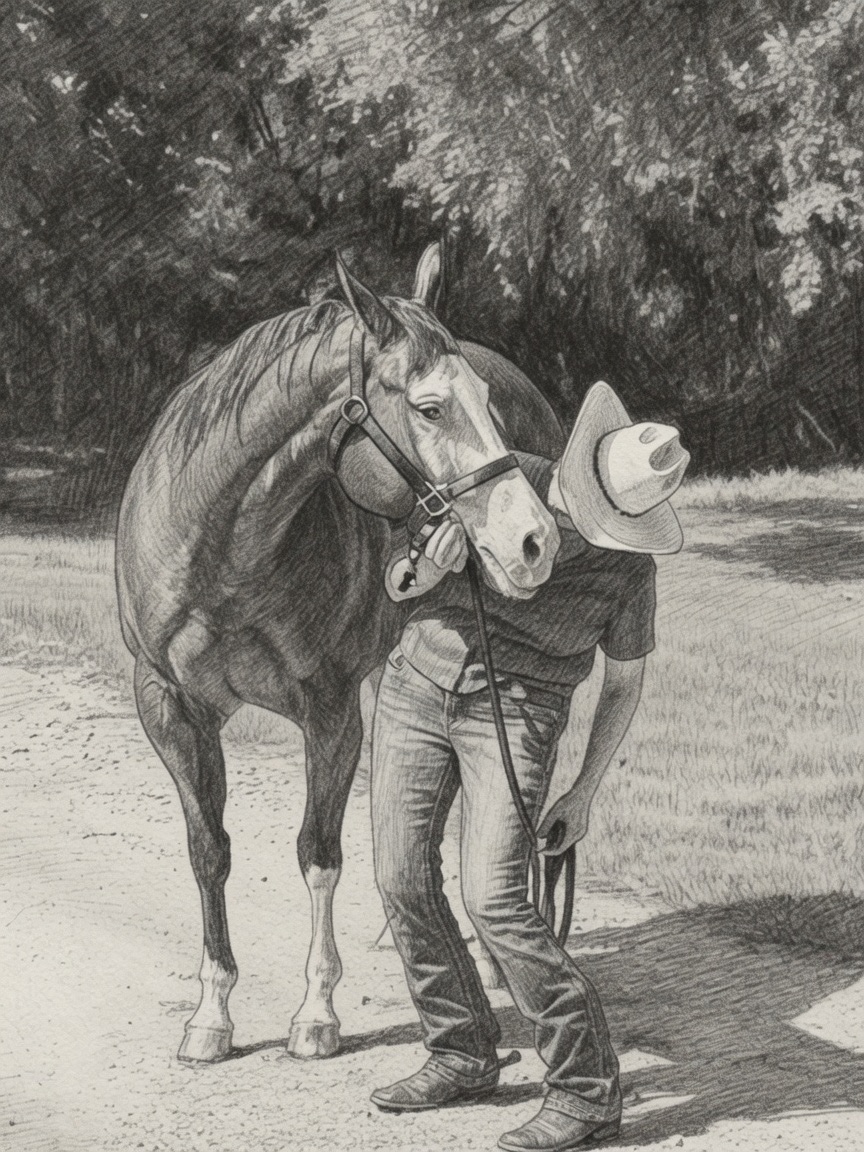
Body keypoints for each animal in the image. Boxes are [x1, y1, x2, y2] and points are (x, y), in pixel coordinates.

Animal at [115, 243, 565, 1064]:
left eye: (486, 405)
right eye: (429, 407)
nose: (533, 539)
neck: (224, 546)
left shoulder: (328, 710)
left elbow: (318, 853)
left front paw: (316, 1011)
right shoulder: (170, 705)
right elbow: (208, 850)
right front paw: (212, 1014)